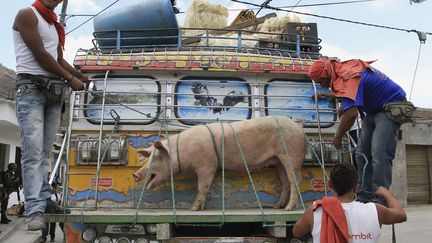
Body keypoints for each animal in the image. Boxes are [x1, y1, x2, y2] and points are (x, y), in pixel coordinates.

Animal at [133, 116, 306, 211]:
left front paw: (193, 209)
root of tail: (298, 127)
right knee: (285, 181)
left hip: (292, 153)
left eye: (157, 158)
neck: (182, 151)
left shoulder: (208, 165)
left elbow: (202, 186)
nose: (135, 174)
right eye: (149, 157)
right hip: (278, 160)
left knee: (295, 180)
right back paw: (277, 207)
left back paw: (289, 209)